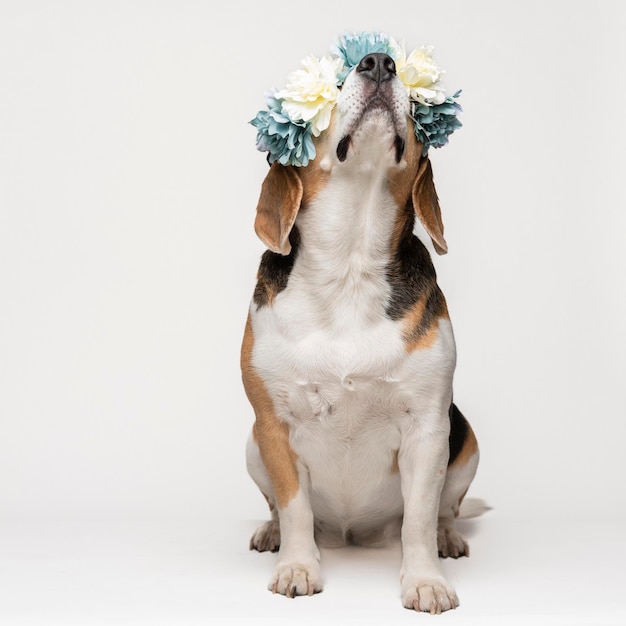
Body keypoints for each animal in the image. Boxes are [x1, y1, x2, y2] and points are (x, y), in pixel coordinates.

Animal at [239, 51, 478, 612]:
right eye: (336, 79)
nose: (379, 62)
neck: (349, 264)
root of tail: (352, 534)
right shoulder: (273, 427)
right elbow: (295, 508)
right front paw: (298, 568)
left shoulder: (428, 429)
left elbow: (419, 517)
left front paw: (425, 580)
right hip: (251, 444)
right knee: (281, 509)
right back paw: (271, 533)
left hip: (465, 441)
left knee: (445, 509)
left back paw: (448, 537)